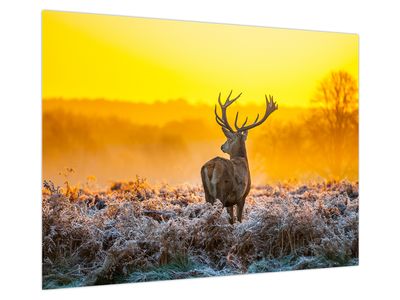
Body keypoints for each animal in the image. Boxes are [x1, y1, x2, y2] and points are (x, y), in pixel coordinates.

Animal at [200, 90, 278, 224]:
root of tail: (212, 166)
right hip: (221, 192)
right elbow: (239, 219)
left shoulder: (230, 202)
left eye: (228, 139)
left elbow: (232, 220)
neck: (242, 159)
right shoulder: (242, 196)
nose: (222, 146)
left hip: (207, 193)